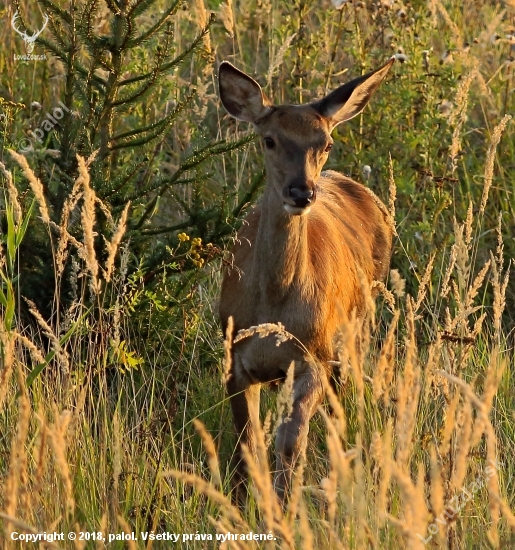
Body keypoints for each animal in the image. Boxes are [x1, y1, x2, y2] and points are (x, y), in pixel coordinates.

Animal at [218, 58, 396, 506]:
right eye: (269, 140)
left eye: (326, 142)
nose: (301, 192)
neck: (273, 308)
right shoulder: (233, 356)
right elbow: (247, 443)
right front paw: (244, 503)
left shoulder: (312, 357)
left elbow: (289, 442)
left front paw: (282, 507)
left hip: (355, 335)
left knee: (341, 414)